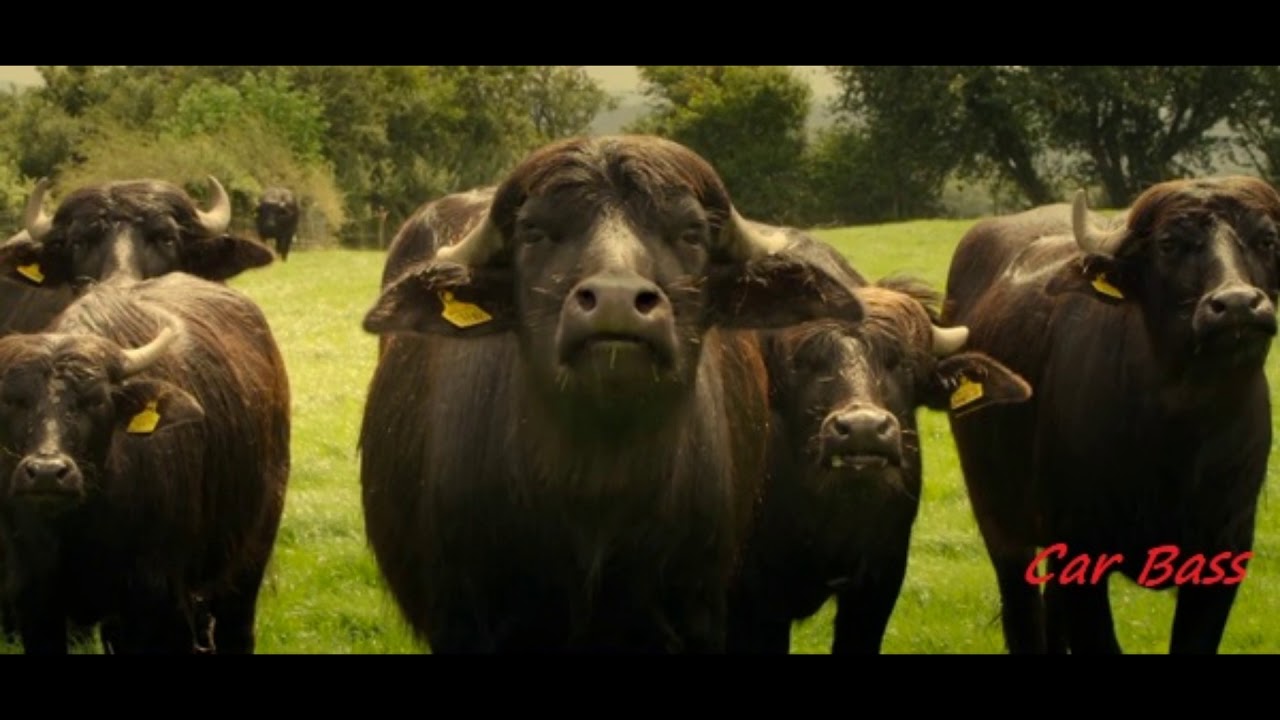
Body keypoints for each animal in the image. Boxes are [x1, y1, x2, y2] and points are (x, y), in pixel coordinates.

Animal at [0, 272, 291, 654]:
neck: (80, 528)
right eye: (12, 400)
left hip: (250, 557)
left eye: (96, 400)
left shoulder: (160, 603)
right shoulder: (36, 603)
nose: (47, 473)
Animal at [942, 176, 1280, 653]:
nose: (1236, 305)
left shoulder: (1225, 552)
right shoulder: (1080, 548)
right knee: (1024, 614)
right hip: (999, 520)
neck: (1181, 437)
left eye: (1267, 239)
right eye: (1168, 244)